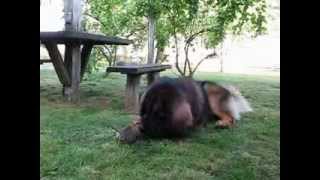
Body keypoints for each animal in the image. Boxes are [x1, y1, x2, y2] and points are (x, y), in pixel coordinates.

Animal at [118, 77, 252, 143]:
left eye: (160, 115)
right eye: (144, 113)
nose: (142, 129)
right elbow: (134, 121)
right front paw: (128, 130)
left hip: (210, 93)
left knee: (232, 118)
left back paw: (223, 124)